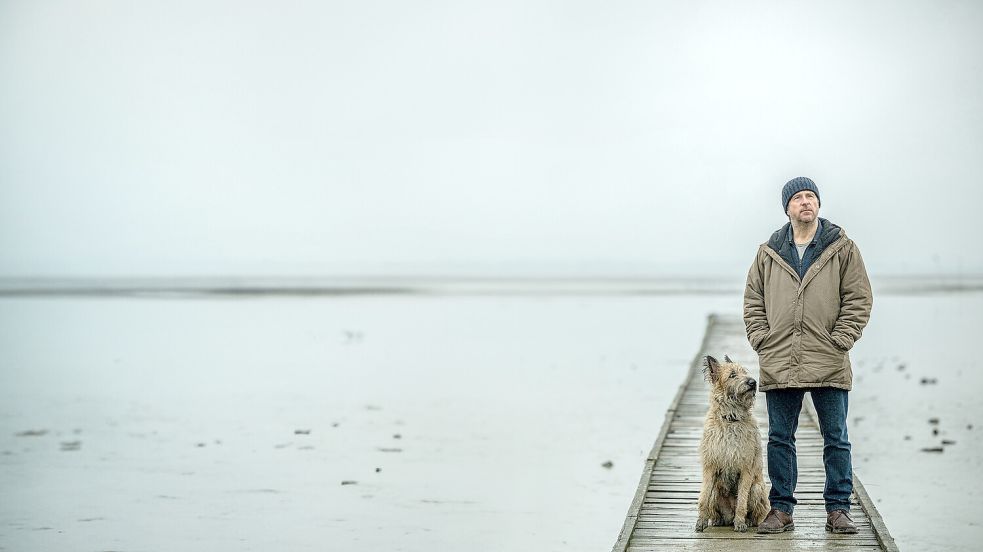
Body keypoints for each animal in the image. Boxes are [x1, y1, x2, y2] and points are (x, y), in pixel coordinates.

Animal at [696, 356, 772, 532]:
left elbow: (742, 500)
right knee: (713, 504)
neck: (731, 418)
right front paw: (701, 521)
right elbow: (704, 497)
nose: (752, 382)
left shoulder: (746, 468)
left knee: (756, 512)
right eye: (732, 375)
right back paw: (717, 520)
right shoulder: (710, 466)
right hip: (716, 490)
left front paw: (740, 522)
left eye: (745, 372)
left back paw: (747, 521)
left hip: (757, 488)